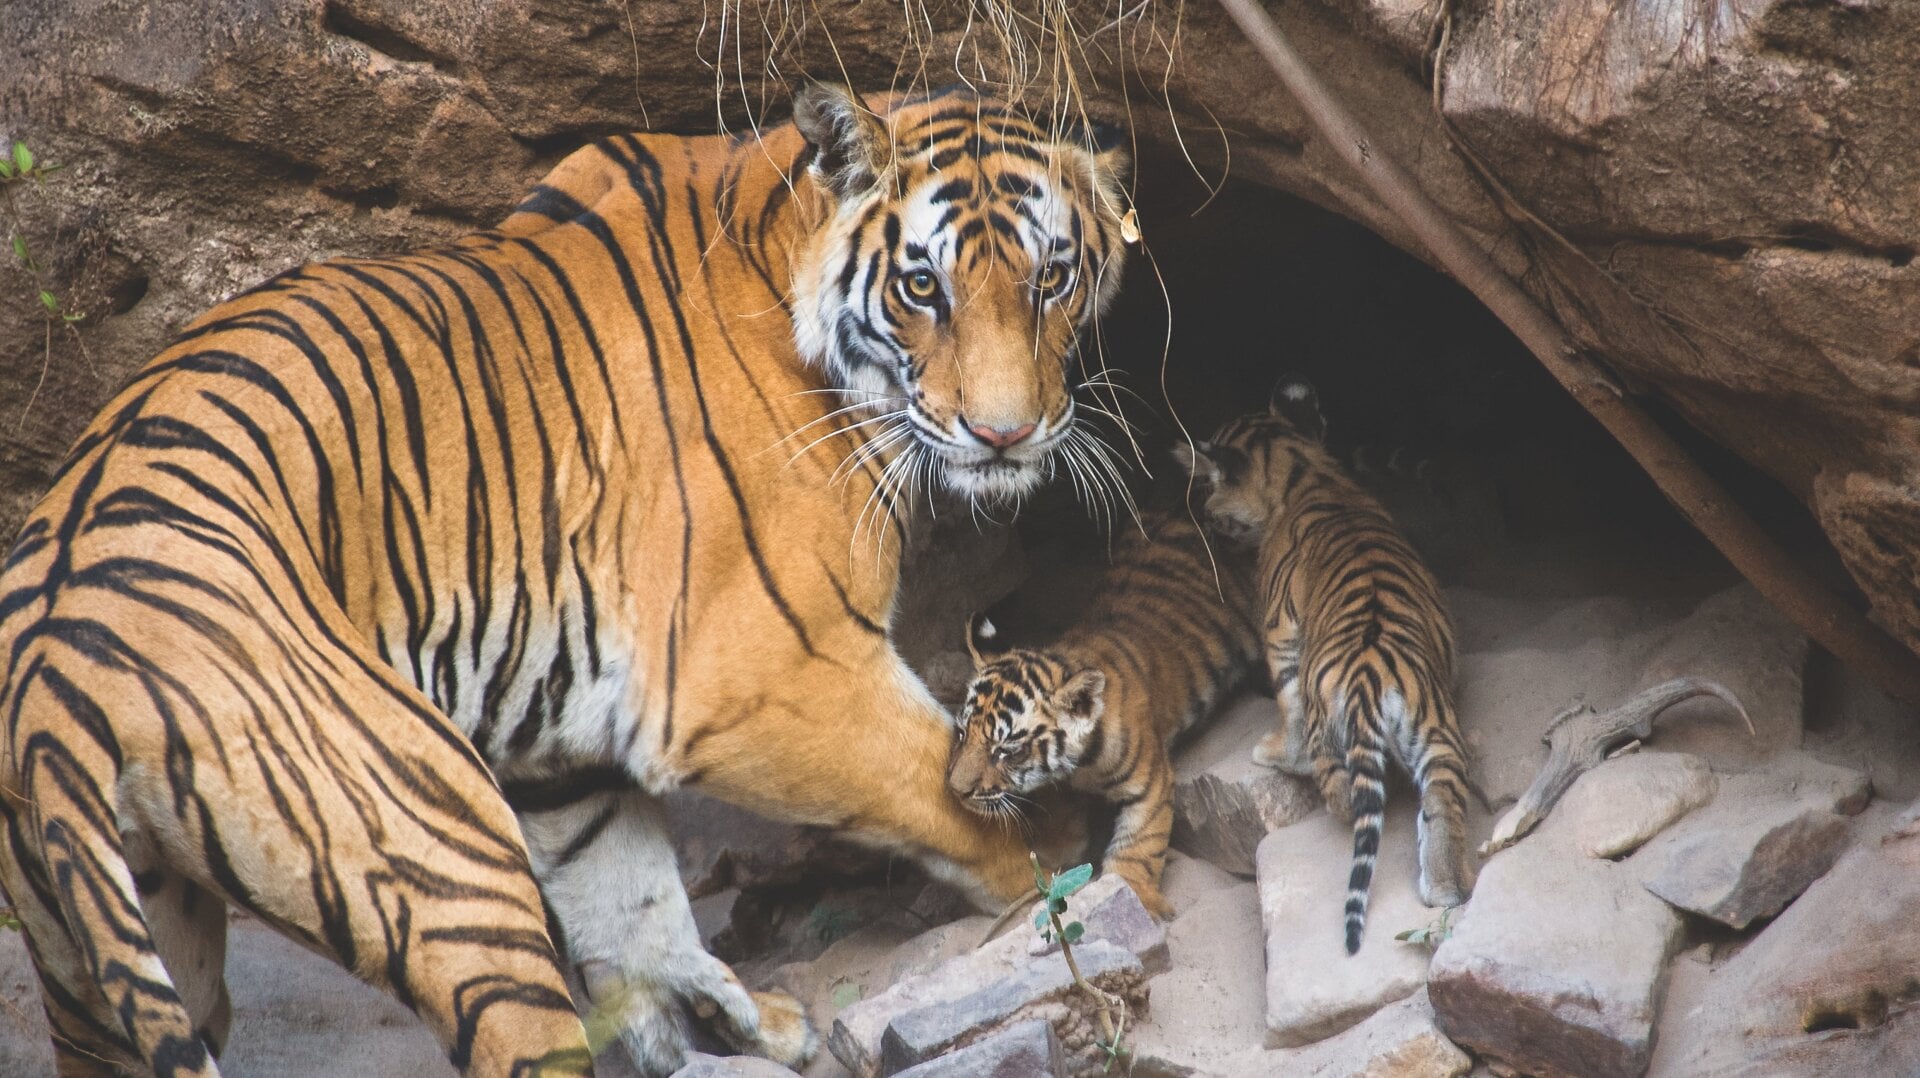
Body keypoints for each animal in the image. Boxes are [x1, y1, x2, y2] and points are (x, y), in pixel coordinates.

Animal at [0, 82, 1132, 1077]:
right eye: (922, 286)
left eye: (1051, 280)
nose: (1005, 435)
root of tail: (54, 691)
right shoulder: (770, 673)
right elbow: (947, 791)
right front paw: (1061, 857)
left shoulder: (556, 741)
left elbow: (632, 901)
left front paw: (724, 1023)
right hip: (444, 849)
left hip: (111, 952)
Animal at [947, 508, 1261, 918]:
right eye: (962, 733)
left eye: (1006, 751)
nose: (956, 791)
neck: (1079, 767)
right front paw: (1056, 850)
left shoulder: (1151, 782)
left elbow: (1139, 845)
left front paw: (1132, 894)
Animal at [1174, 378, 1476, 954]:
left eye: (1208, 494)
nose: (1204, 523)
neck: (1304, 469)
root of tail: (1370, 673)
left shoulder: (1279, 630)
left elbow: (1285, 701)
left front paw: (1271, 751)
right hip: (1435, 730)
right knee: (1443, 801)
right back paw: (1449, 889)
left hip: (1331, 726)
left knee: (1345, 798)